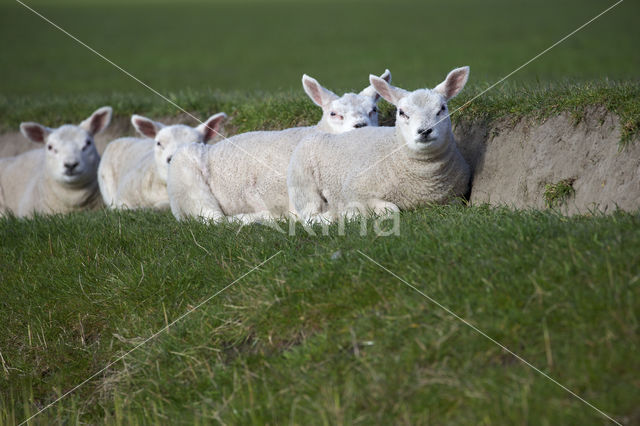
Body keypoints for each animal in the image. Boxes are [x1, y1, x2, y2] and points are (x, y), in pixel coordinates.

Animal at [288, 66, 472, 223]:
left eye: (442, 108)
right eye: (402, 112)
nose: (424, 131)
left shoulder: (456, 197)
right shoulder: (357, 191)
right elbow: (391, 209)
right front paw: (352, 214)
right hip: (303, 185)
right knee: (310, 215)